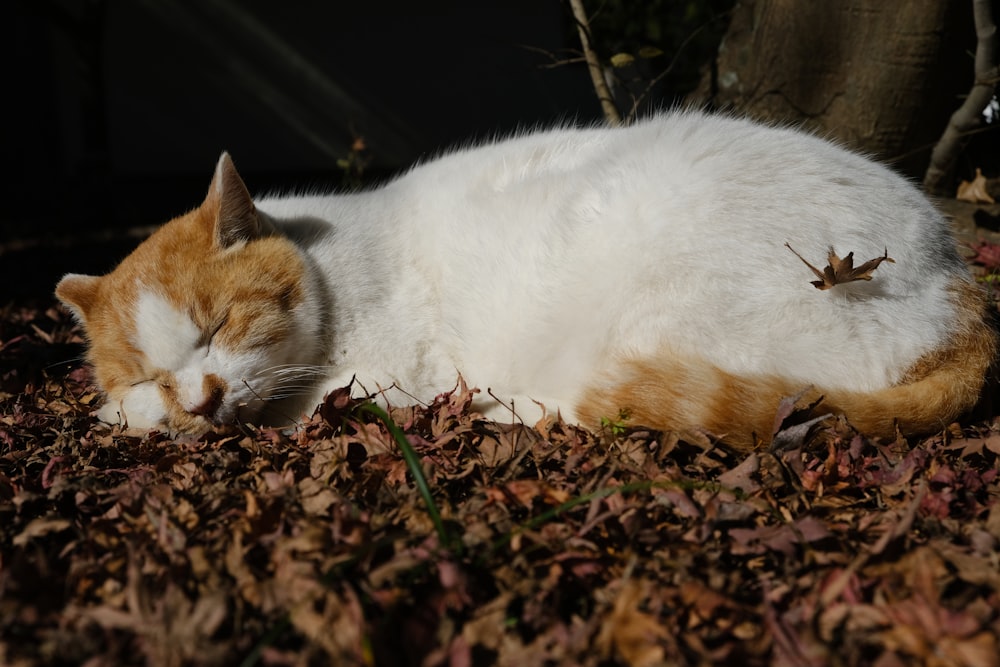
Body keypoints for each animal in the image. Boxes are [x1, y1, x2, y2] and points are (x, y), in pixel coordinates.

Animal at [58, 112, 996, 452]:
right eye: (149, 373)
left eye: (217, 326)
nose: (200, 395)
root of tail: (959, 287)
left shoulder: (384, 378)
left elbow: (307, 405)